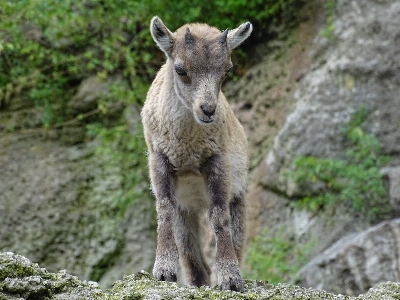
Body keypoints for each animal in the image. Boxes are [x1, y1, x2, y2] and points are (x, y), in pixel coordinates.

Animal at [142, 15, 252, 290]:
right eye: (181, 69)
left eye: (227, 69)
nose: (208, 110)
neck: (186, 145)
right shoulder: (160, 159)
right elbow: (164, 208)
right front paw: (163, 271)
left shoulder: (217, 160)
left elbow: (219, 215)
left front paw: (230, 278)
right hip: (187, 209)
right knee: (193, 258)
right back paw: (198, 281)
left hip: (239, 196)